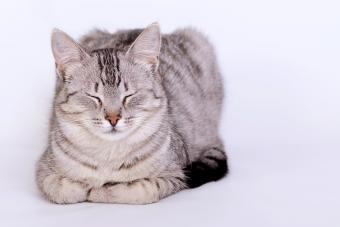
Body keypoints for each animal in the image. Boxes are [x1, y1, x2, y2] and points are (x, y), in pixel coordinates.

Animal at [35, 22, 228, 204]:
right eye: (94, 97)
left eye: (129, 95)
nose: (113, 118)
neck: (108, 155)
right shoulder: (43, 170)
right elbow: (61, 188)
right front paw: (84, 186)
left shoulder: (176, 174)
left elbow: (134, 190)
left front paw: (99, 190)